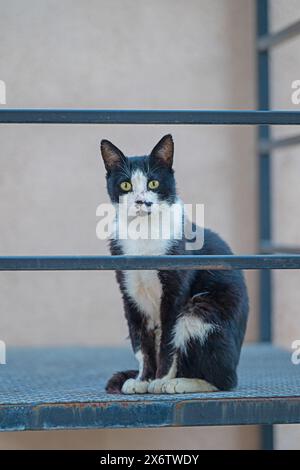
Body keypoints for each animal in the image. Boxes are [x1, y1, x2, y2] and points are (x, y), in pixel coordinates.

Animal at [101, 134, 248, 394]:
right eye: (126, 185)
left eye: (153, 184)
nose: (142, 201)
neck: (143, 235)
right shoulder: (129, 293)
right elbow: (142, 344)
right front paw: (142, 380)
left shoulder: (175, 292)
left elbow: (168, 342)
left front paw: (160, 379)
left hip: (201, 310)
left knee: (224, 380)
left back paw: (180, 382)